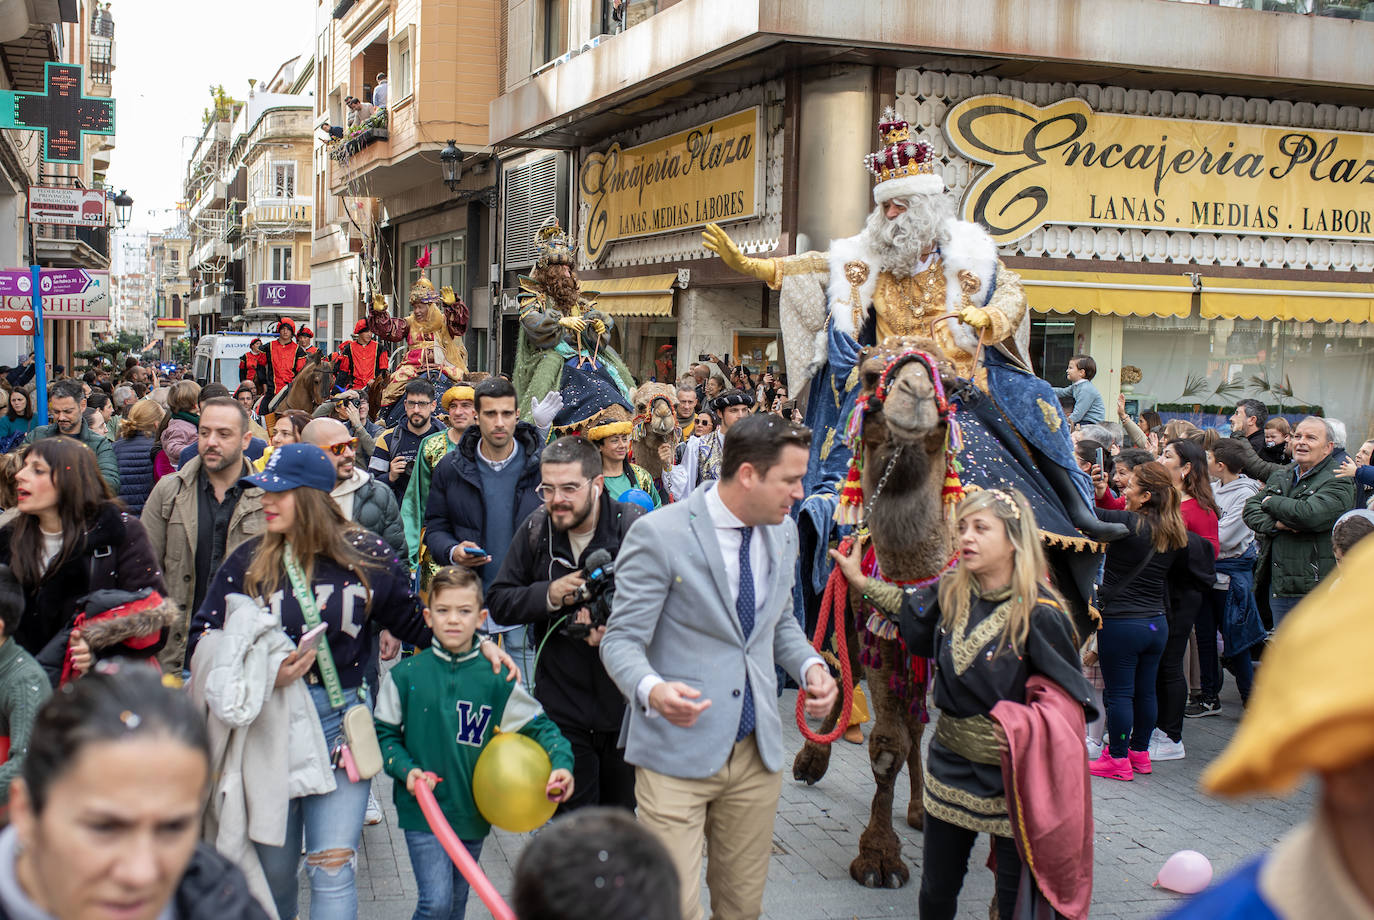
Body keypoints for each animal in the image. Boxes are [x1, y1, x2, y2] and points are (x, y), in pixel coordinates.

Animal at [791, 339, 961, 895]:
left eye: (953, 383)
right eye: (868, 376)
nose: (915, 393)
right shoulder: (883, 637)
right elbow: (888, 745)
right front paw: (880, 858)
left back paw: (920, 811)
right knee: (844, 673)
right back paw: (810, 762)